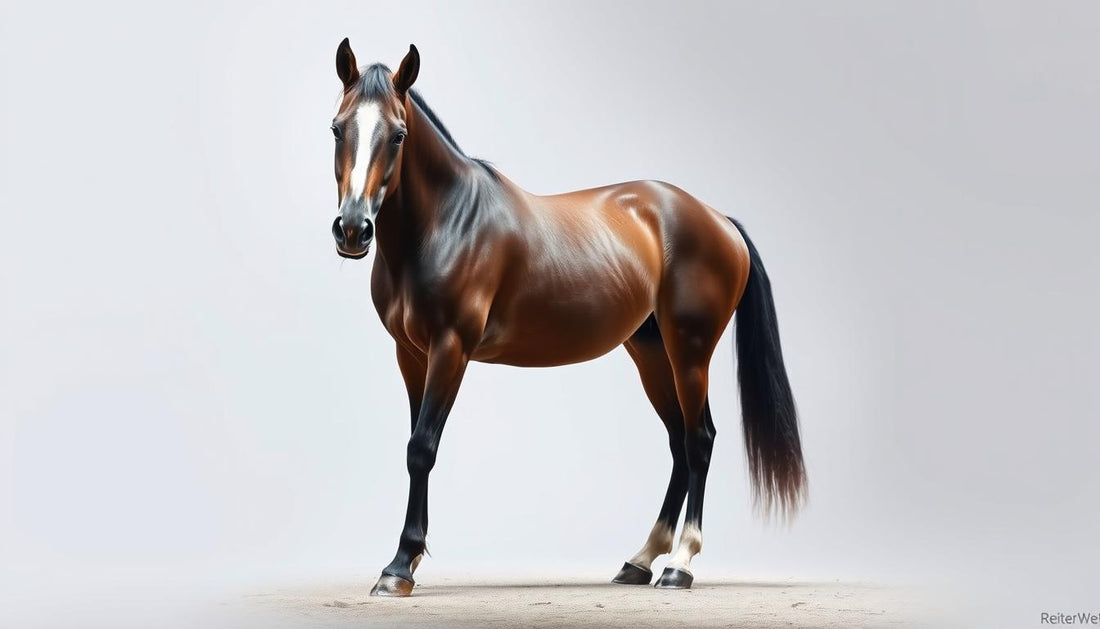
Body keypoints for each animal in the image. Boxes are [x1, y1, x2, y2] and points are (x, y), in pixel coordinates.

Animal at [328, 40, 806, 597]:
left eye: (399, 134)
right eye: (337, 128)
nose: (353, 229)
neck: (447, 223)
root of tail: (720, 219)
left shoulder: (451, 349)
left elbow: (423, 447)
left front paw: (400, 566)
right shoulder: (410, 354)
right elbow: (412, 445)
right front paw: (409, 557)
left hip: (691, 351)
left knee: (699, 440)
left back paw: (679, 564)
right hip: (649, 351)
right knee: (678, 444)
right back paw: (641, 559)